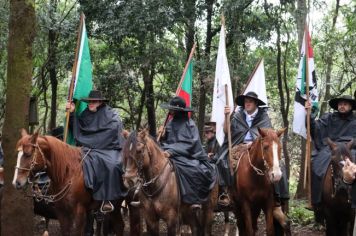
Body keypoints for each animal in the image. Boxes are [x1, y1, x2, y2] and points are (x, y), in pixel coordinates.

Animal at [11, 131, 139, 236]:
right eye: (17, 154)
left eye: (28, 154)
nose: (16, 182)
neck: (67, 174)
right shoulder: (62, 213)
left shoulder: (79, 212)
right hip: (116, 207)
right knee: (119, 226)